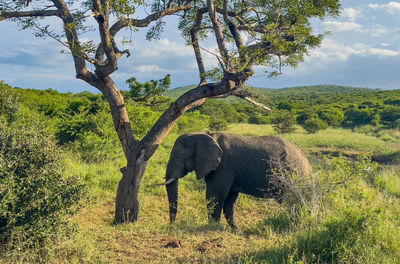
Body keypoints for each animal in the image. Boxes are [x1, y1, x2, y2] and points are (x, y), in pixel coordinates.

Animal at [160, 132, 312, 229]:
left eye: (179, 157)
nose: (172, 226)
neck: (207, 134)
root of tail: (307, 161)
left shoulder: (224, 166)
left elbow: (215, 195)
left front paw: (213, 227)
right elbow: (230, 199)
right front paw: (234, 228)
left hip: (295, 174)